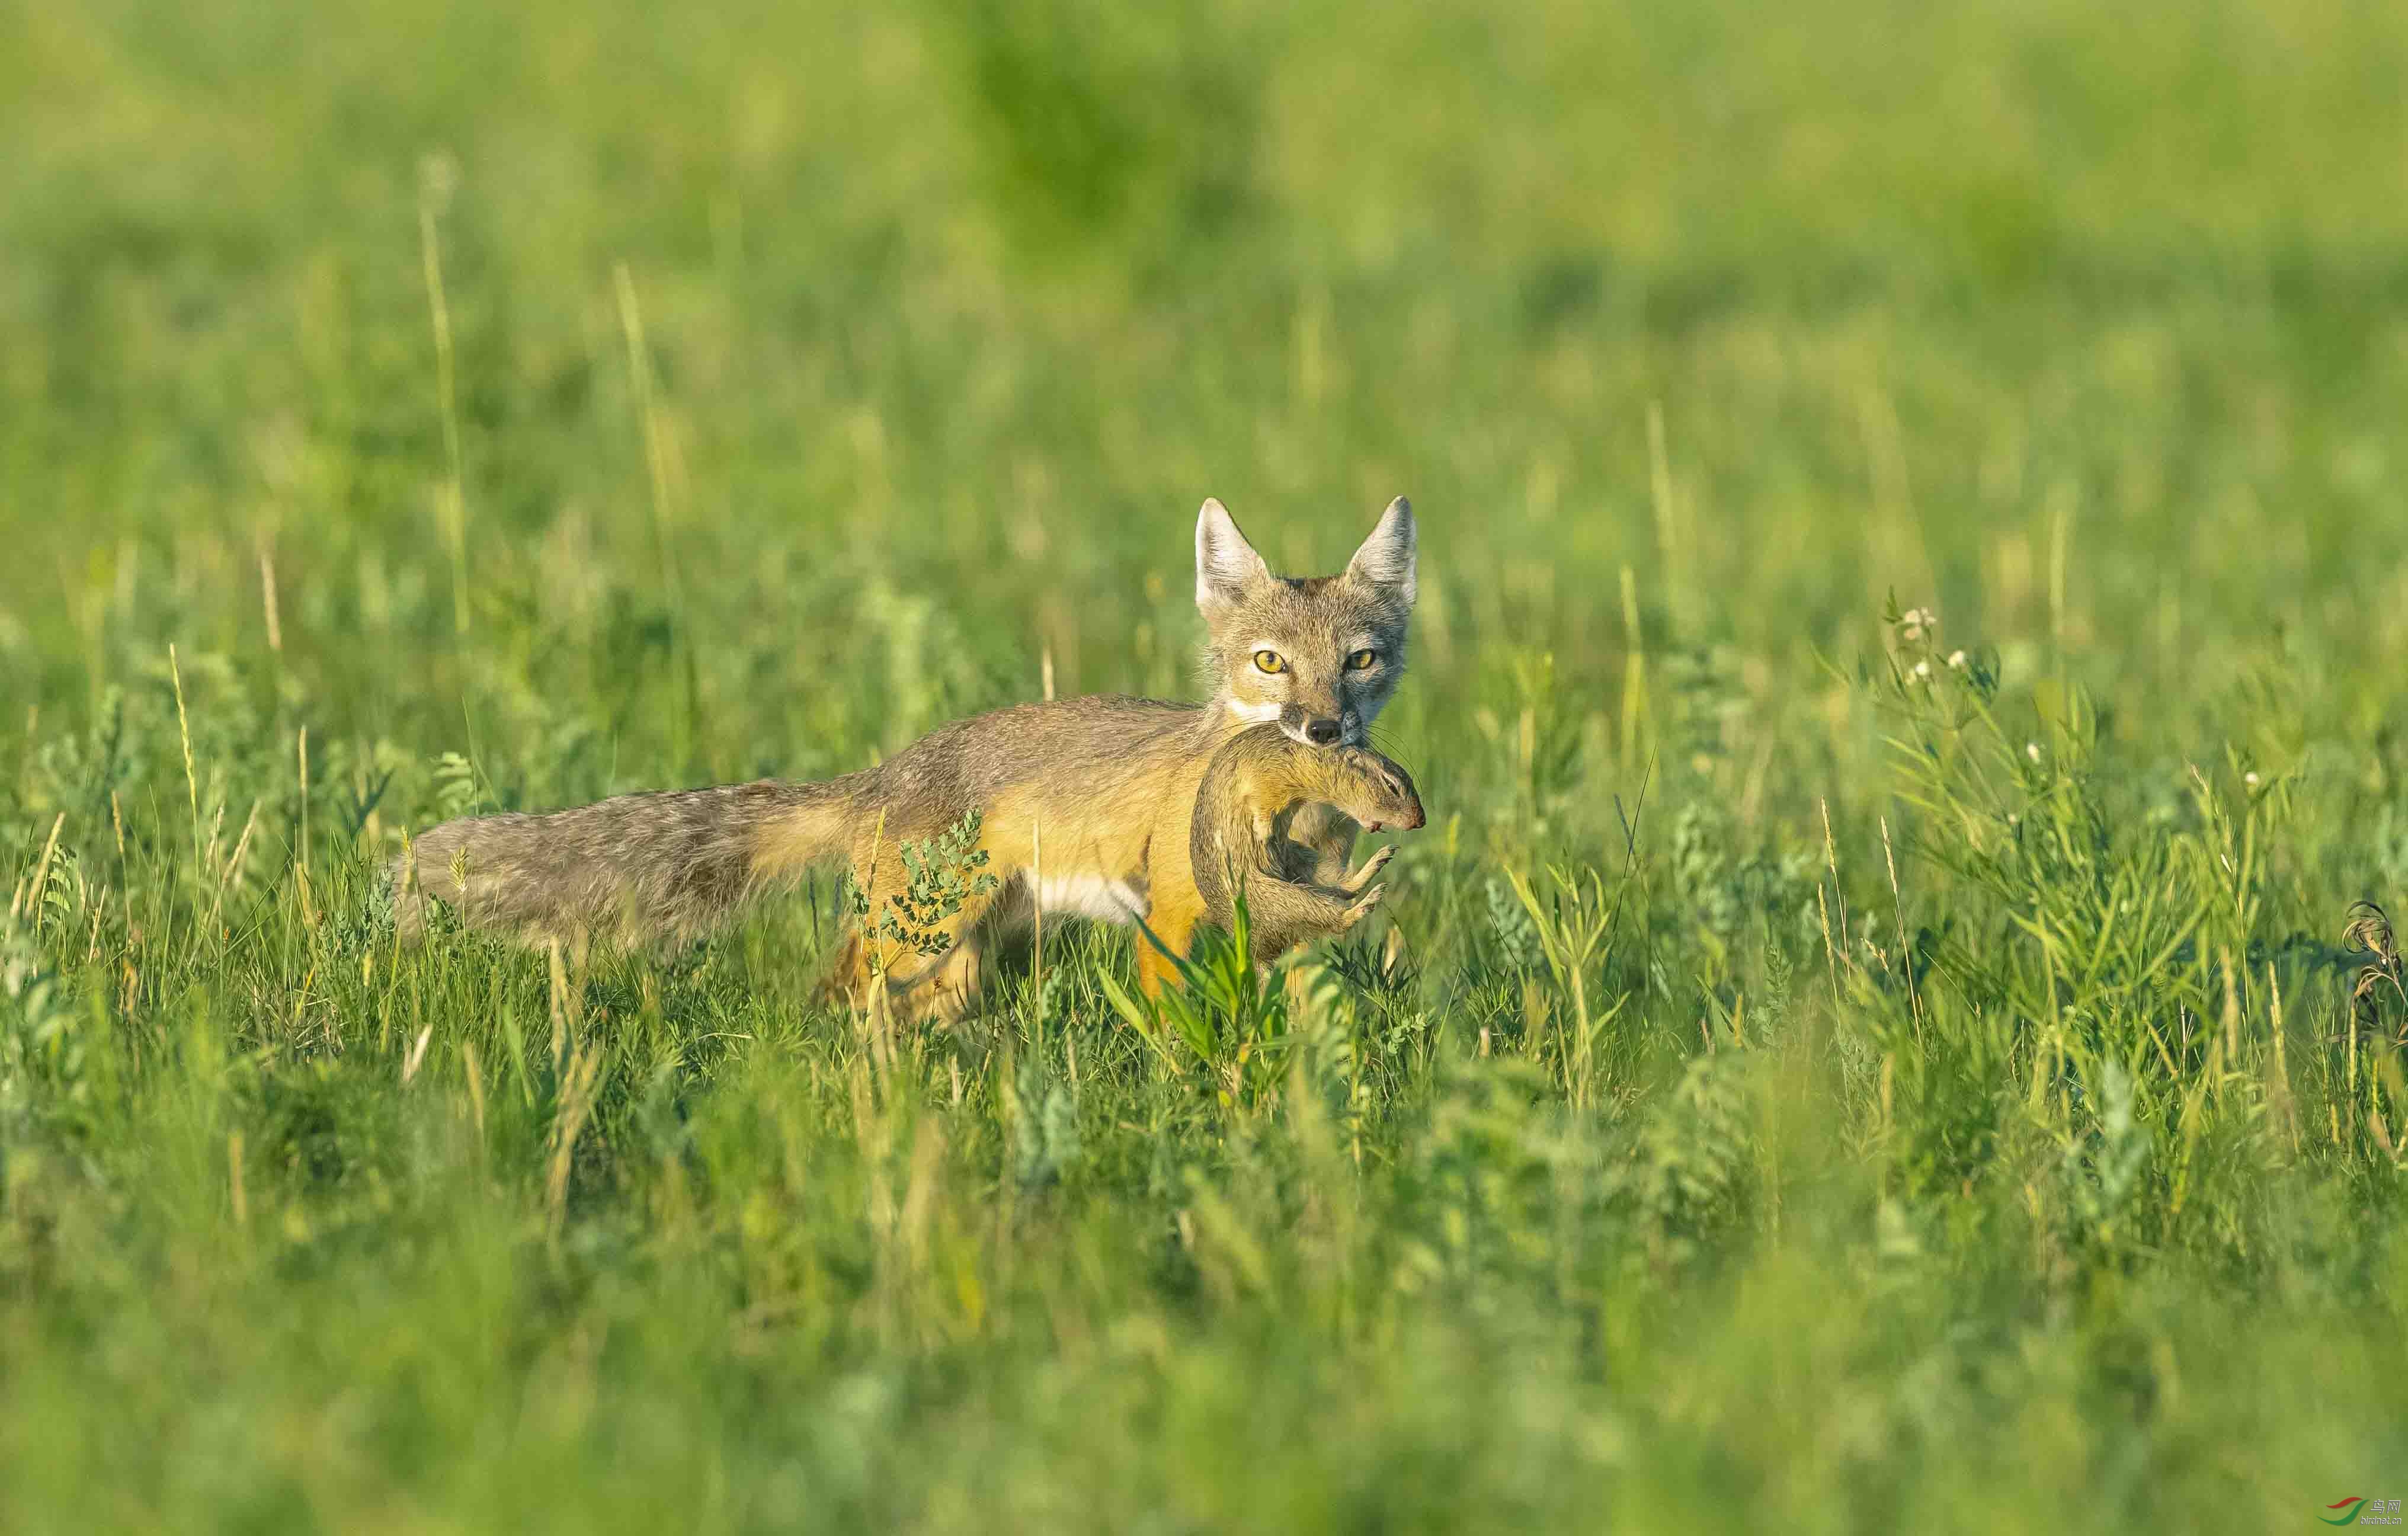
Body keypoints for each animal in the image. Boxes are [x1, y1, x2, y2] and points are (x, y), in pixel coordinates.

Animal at [1180, 727, 1416, 968]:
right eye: (1391, 786)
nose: (1421, 821)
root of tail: (1257, 954)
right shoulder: (1261, 779)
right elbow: (1259, 806)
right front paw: (1263, 832)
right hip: (1289, 899)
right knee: (1339, 919)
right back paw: (1370, 899)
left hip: (1304, 862)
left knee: (1345, 888)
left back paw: (1381, 859)